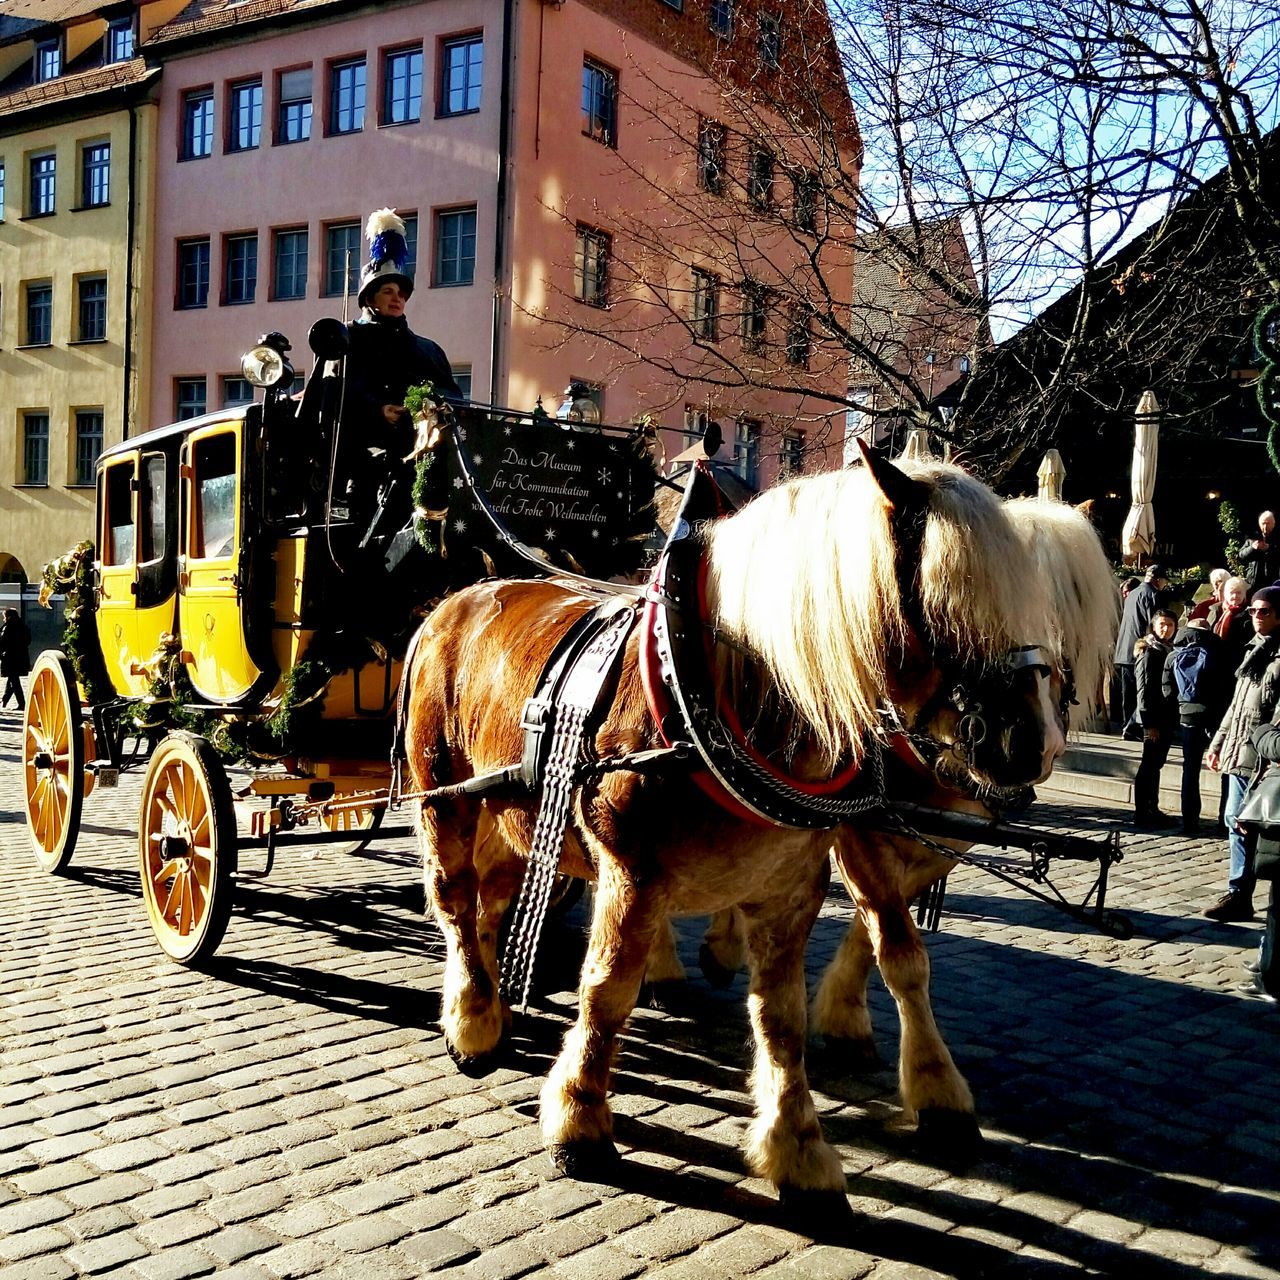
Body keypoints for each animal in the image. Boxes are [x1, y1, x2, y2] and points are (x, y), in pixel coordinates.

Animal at [404, 450, 1075, 1208]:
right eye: (946, 599)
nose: (1034, 742)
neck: (721, 694)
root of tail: (457, 599)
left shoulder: (794, 886)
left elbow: (783, 1014)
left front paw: (799, 1146)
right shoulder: (633, 871)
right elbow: (607, 990)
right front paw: (580, 1119)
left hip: (511, 815)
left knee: (489, 902)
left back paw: (485, 1000)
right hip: (445, 795)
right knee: (456, 900)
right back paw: (474, 1021)